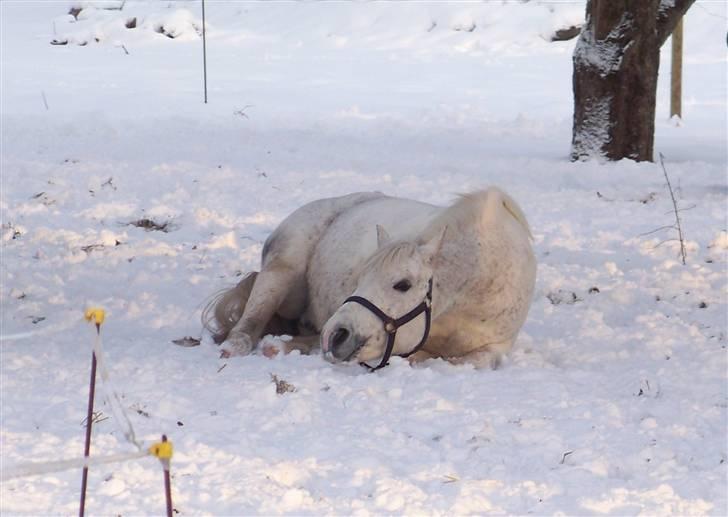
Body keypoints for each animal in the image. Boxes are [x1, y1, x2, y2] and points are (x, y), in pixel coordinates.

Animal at [202, 187, 536, 368]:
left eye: (402, 285)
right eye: (360, 278)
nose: (337, 333)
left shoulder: (493, 349)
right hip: (282, 269)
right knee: (248, 325)